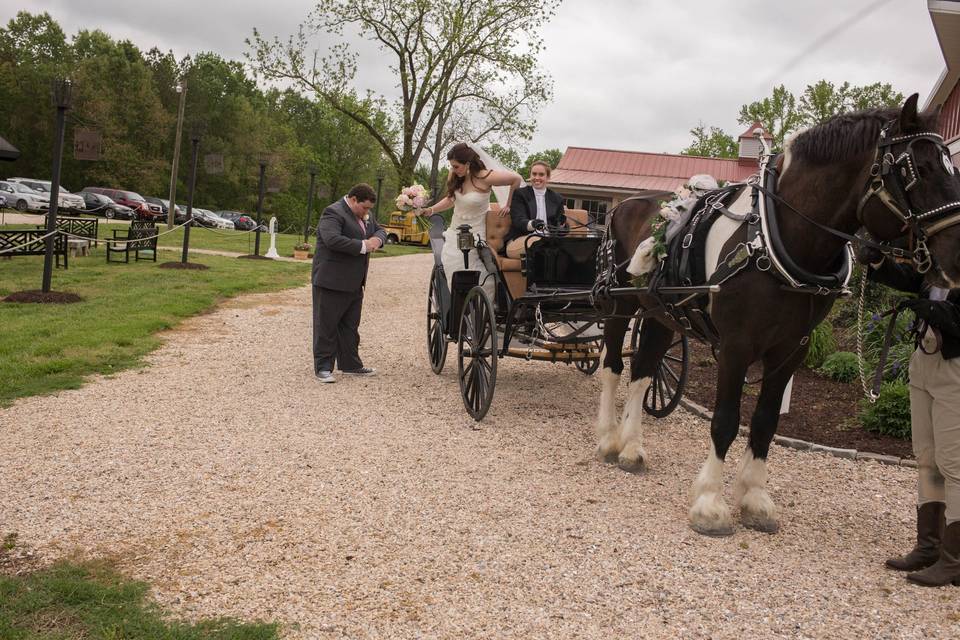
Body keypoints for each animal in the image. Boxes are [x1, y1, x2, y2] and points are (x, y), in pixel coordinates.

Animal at [596, 94, 960, 536]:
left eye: (951, 166)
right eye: (914, 169)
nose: (958, 257)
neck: (776, 237)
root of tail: (631, 204)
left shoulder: (791, 350)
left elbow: (766, 420)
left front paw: (754, 498)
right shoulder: (735, 347)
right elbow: (726, 419)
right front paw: (710, 504)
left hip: (664, 314)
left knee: (643, 372)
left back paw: (632, 448)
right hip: (619, 305)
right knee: (613, 366)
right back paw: (608, 439)